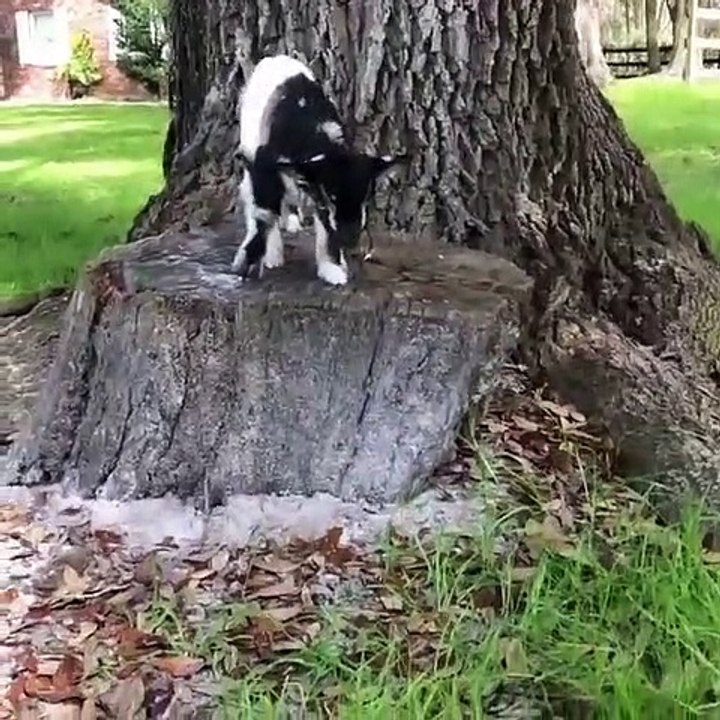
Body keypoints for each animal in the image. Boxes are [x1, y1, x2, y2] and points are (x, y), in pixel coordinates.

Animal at [232, 54, 405, 286]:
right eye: (333, 196)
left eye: (365, 197)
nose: (350, 240)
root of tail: (275, 58)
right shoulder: (265, 168)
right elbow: (264, 213)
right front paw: (255, 260)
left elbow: (325, 224)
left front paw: (332, 269)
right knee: (253, 197)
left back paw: (291, 221)